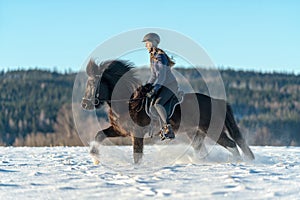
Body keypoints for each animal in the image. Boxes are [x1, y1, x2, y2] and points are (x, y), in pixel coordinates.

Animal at [81, 58, 254, 163]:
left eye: (93, 84)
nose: (84, 104)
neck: (128, 102)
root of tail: (218, 102)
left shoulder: (137, 133)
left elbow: (137, 155)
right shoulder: (120, 130)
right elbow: (99, 135)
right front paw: (95, 158)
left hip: (212, 130)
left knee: (231, 144)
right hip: (196, 132)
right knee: (203, 149)